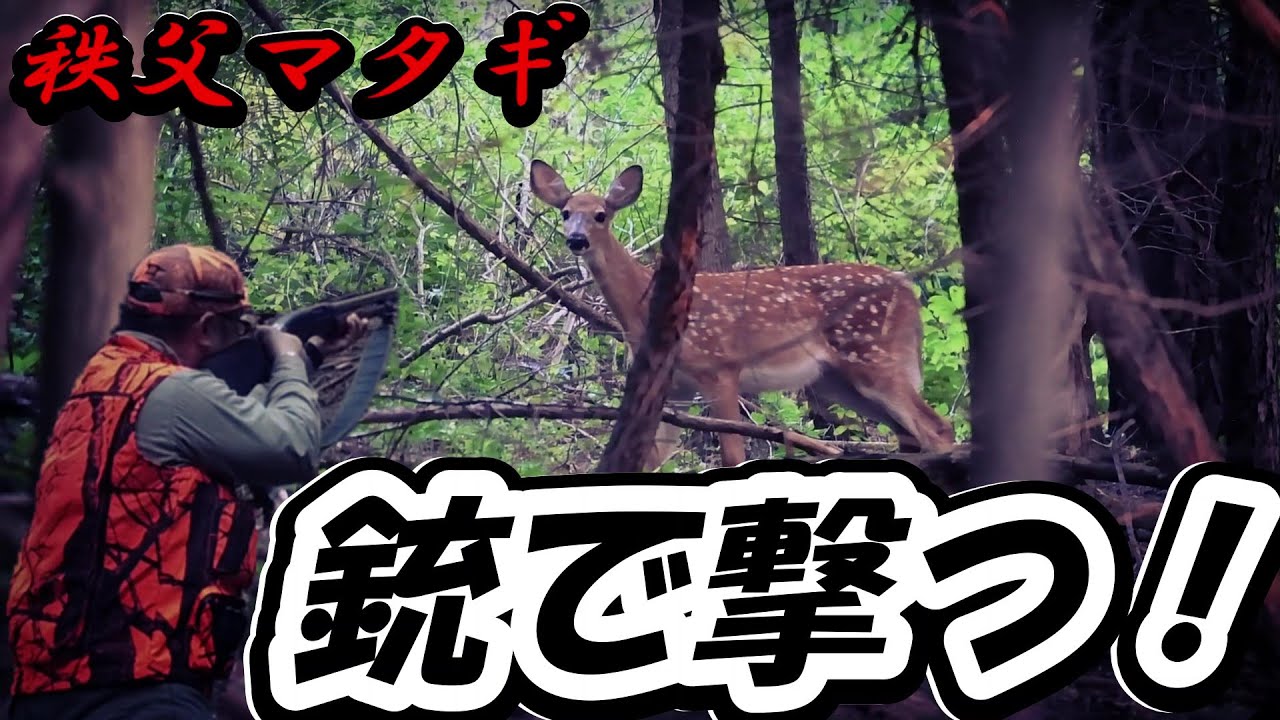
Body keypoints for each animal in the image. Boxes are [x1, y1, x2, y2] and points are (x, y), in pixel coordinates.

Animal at [529, 159, 956, 470]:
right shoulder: (675, 389)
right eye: (565, 212)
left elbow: (732, 455)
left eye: (601, 214)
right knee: (910, 437)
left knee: (938, 429)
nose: (576, 239)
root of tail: (908, 290)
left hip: (873, 354)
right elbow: (649, 458)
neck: (644, 309)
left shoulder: (719, 366)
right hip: (838, 379)